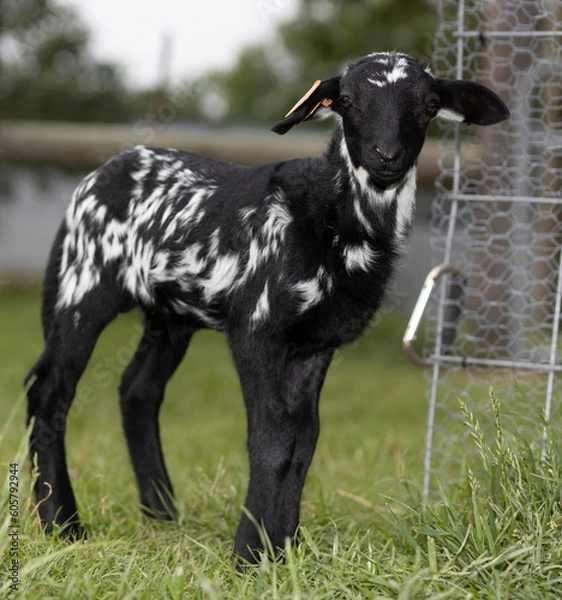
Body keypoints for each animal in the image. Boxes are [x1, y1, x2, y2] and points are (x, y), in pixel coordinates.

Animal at [25, 51, 508, 564]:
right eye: (347, 100)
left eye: (430, 105)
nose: (386, 155)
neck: (330, 219)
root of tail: (102, 171)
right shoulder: (256, 329)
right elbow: (272, 439)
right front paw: (247, 555)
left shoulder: (316, 344)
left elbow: (305, 440)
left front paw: (283, 551)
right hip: (82, 288)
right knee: (48, 393)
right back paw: (62, 524)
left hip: (170, 315)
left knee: (138, 390)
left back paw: (161, 514)